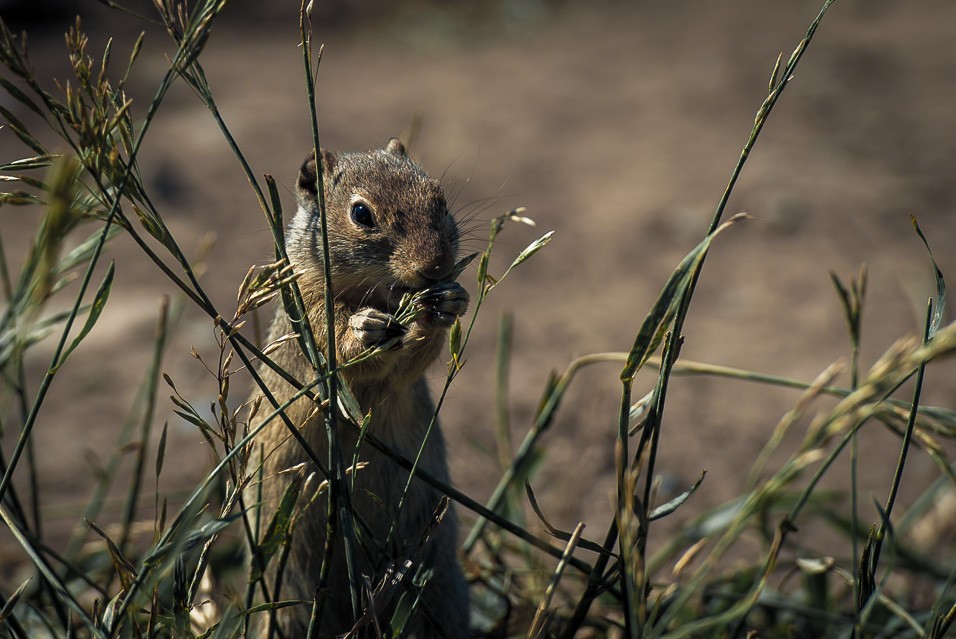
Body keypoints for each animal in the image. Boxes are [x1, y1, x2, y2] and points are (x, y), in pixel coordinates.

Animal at [248, 141, 468, 639]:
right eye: (361, 213)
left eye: (440, 197)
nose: (437, 267)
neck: (380, 293)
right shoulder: (308, 314)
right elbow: (336, 350)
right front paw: (364, 329)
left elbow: (413, 361)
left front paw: (448, 302)